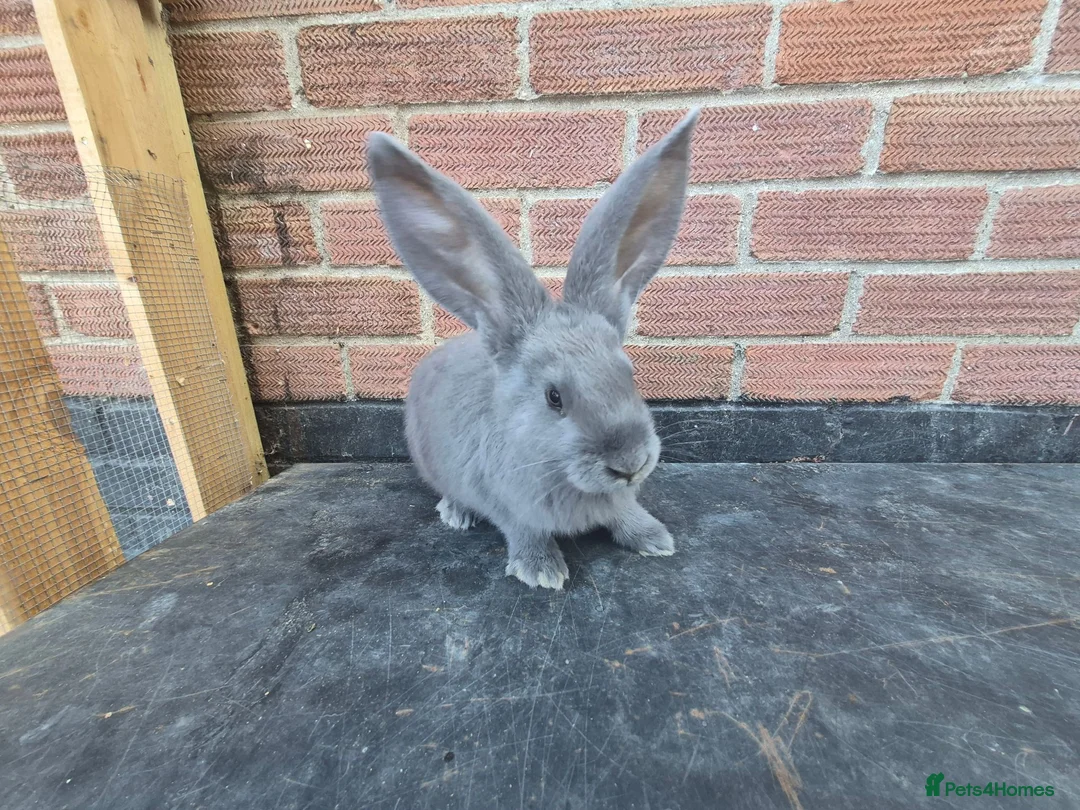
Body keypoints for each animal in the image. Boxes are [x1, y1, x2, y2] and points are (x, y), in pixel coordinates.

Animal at [367, 109, 699, 590]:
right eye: (553, 397)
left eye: (629, 374)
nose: (630, 463)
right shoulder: (509, 507)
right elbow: (524, 531)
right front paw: (540, 570)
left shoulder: (618, 500)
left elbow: (625, 513)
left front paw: (654, 538)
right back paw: (455, 513)